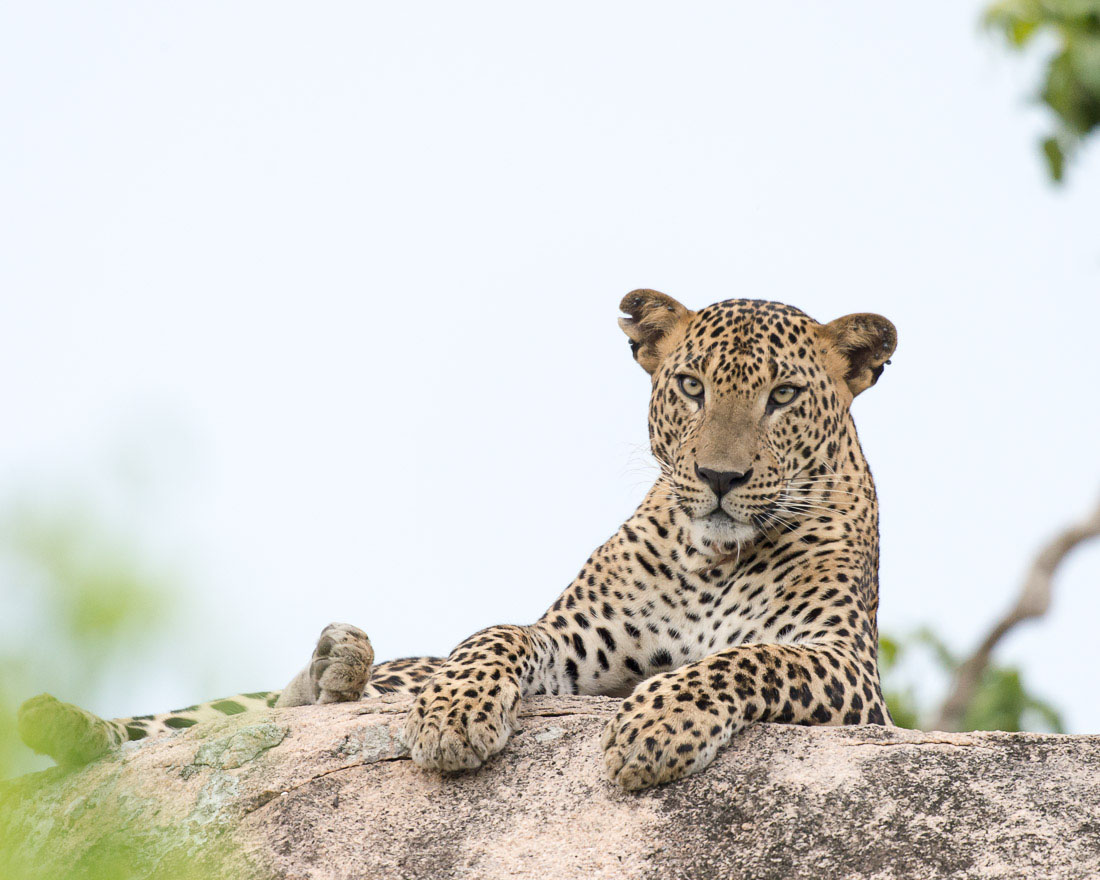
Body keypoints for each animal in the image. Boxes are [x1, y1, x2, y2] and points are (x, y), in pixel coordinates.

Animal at [15, 290, 893, 792]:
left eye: (784, 396)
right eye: (690, 386)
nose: (717, 477)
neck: (716, 557)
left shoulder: (849, 671)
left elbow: (744, 659)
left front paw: (657, 728)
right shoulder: (574, 642)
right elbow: (494, 635)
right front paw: (453, 718)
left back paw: (337, 669)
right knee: (208, 720)